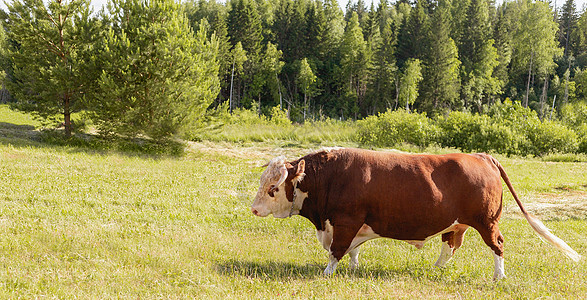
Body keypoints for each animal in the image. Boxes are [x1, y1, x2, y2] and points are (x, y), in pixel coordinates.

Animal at [250, 148, 580, 278]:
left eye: (273, 188)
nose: (253, 209)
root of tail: (481, 155)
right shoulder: (349, 226)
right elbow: (352, 251)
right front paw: (353, 269)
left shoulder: (345, 222)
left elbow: (337, 251)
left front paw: (327, 273)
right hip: (457, 224)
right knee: (450, 245)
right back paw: (436, 268)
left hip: (487, 222)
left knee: (497, 245)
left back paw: (498, 276)